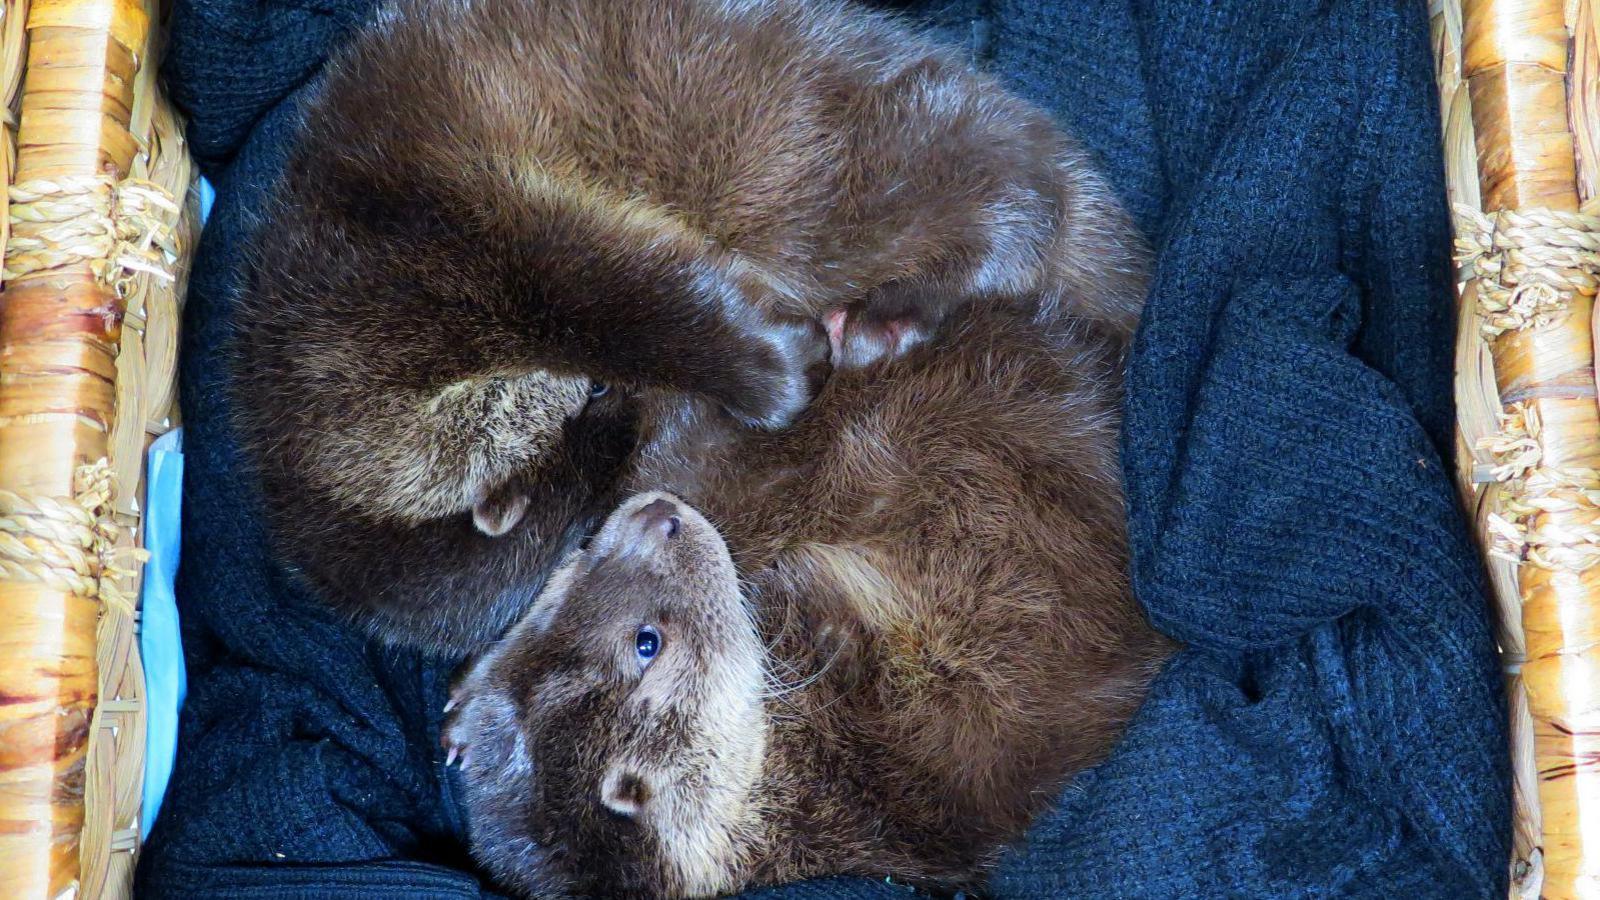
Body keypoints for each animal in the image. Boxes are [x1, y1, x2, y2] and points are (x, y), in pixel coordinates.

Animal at [231, 0, 1149, 654]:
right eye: (586, 513)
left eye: (592, 399)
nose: (628, 415)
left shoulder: (475, 219)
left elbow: (631, 298)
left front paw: (775, 372)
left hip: (869, 151)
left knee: (1022, 193)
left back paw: (886, 316)